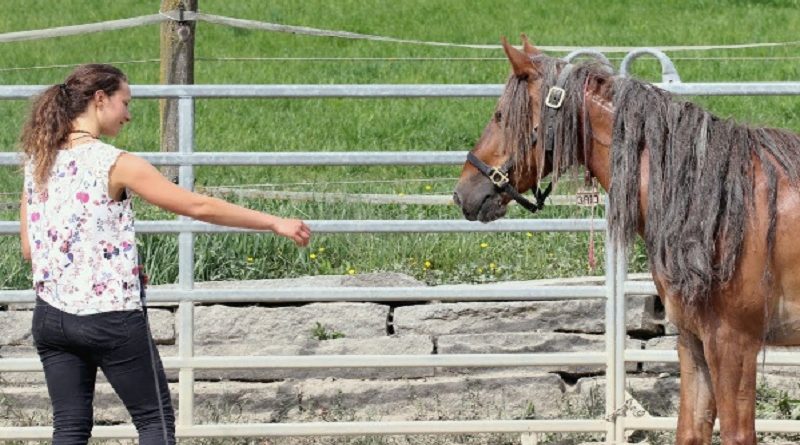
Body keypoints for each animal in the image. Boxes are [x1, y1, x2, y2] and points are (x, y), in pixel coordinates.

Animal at [456, 35, 800, 444]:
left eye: (500, 116)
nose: (463, 192)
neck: (716, 199)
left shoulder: (733, 344)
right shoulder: (694, 341)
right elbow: (690, 430)